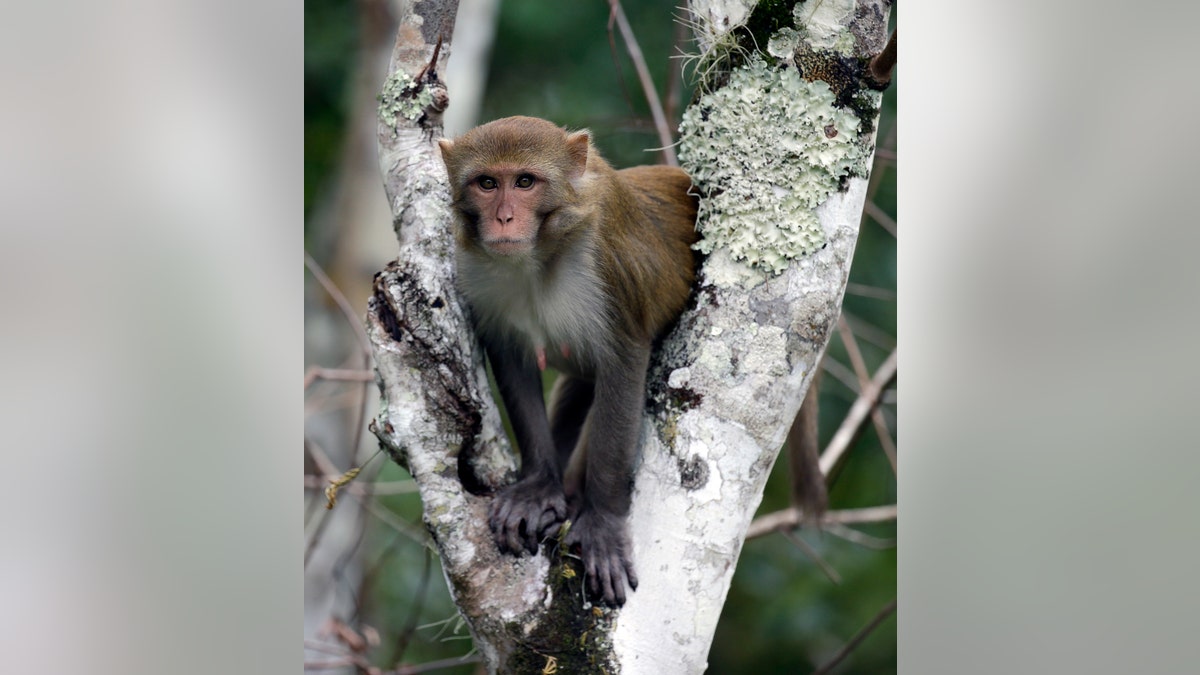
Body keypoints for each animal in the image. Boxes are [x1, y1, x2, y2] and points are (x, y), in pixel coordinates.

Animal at [439, 115, 700, 605]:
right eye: (487, 183)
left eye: (524, 182)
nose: (503, 218)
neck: (540, 255)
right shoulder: (477, 273)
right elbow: (512, 360)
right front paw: (539, 487)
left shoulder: (610, 266)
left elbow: (624, 360)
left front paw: (601, 523)